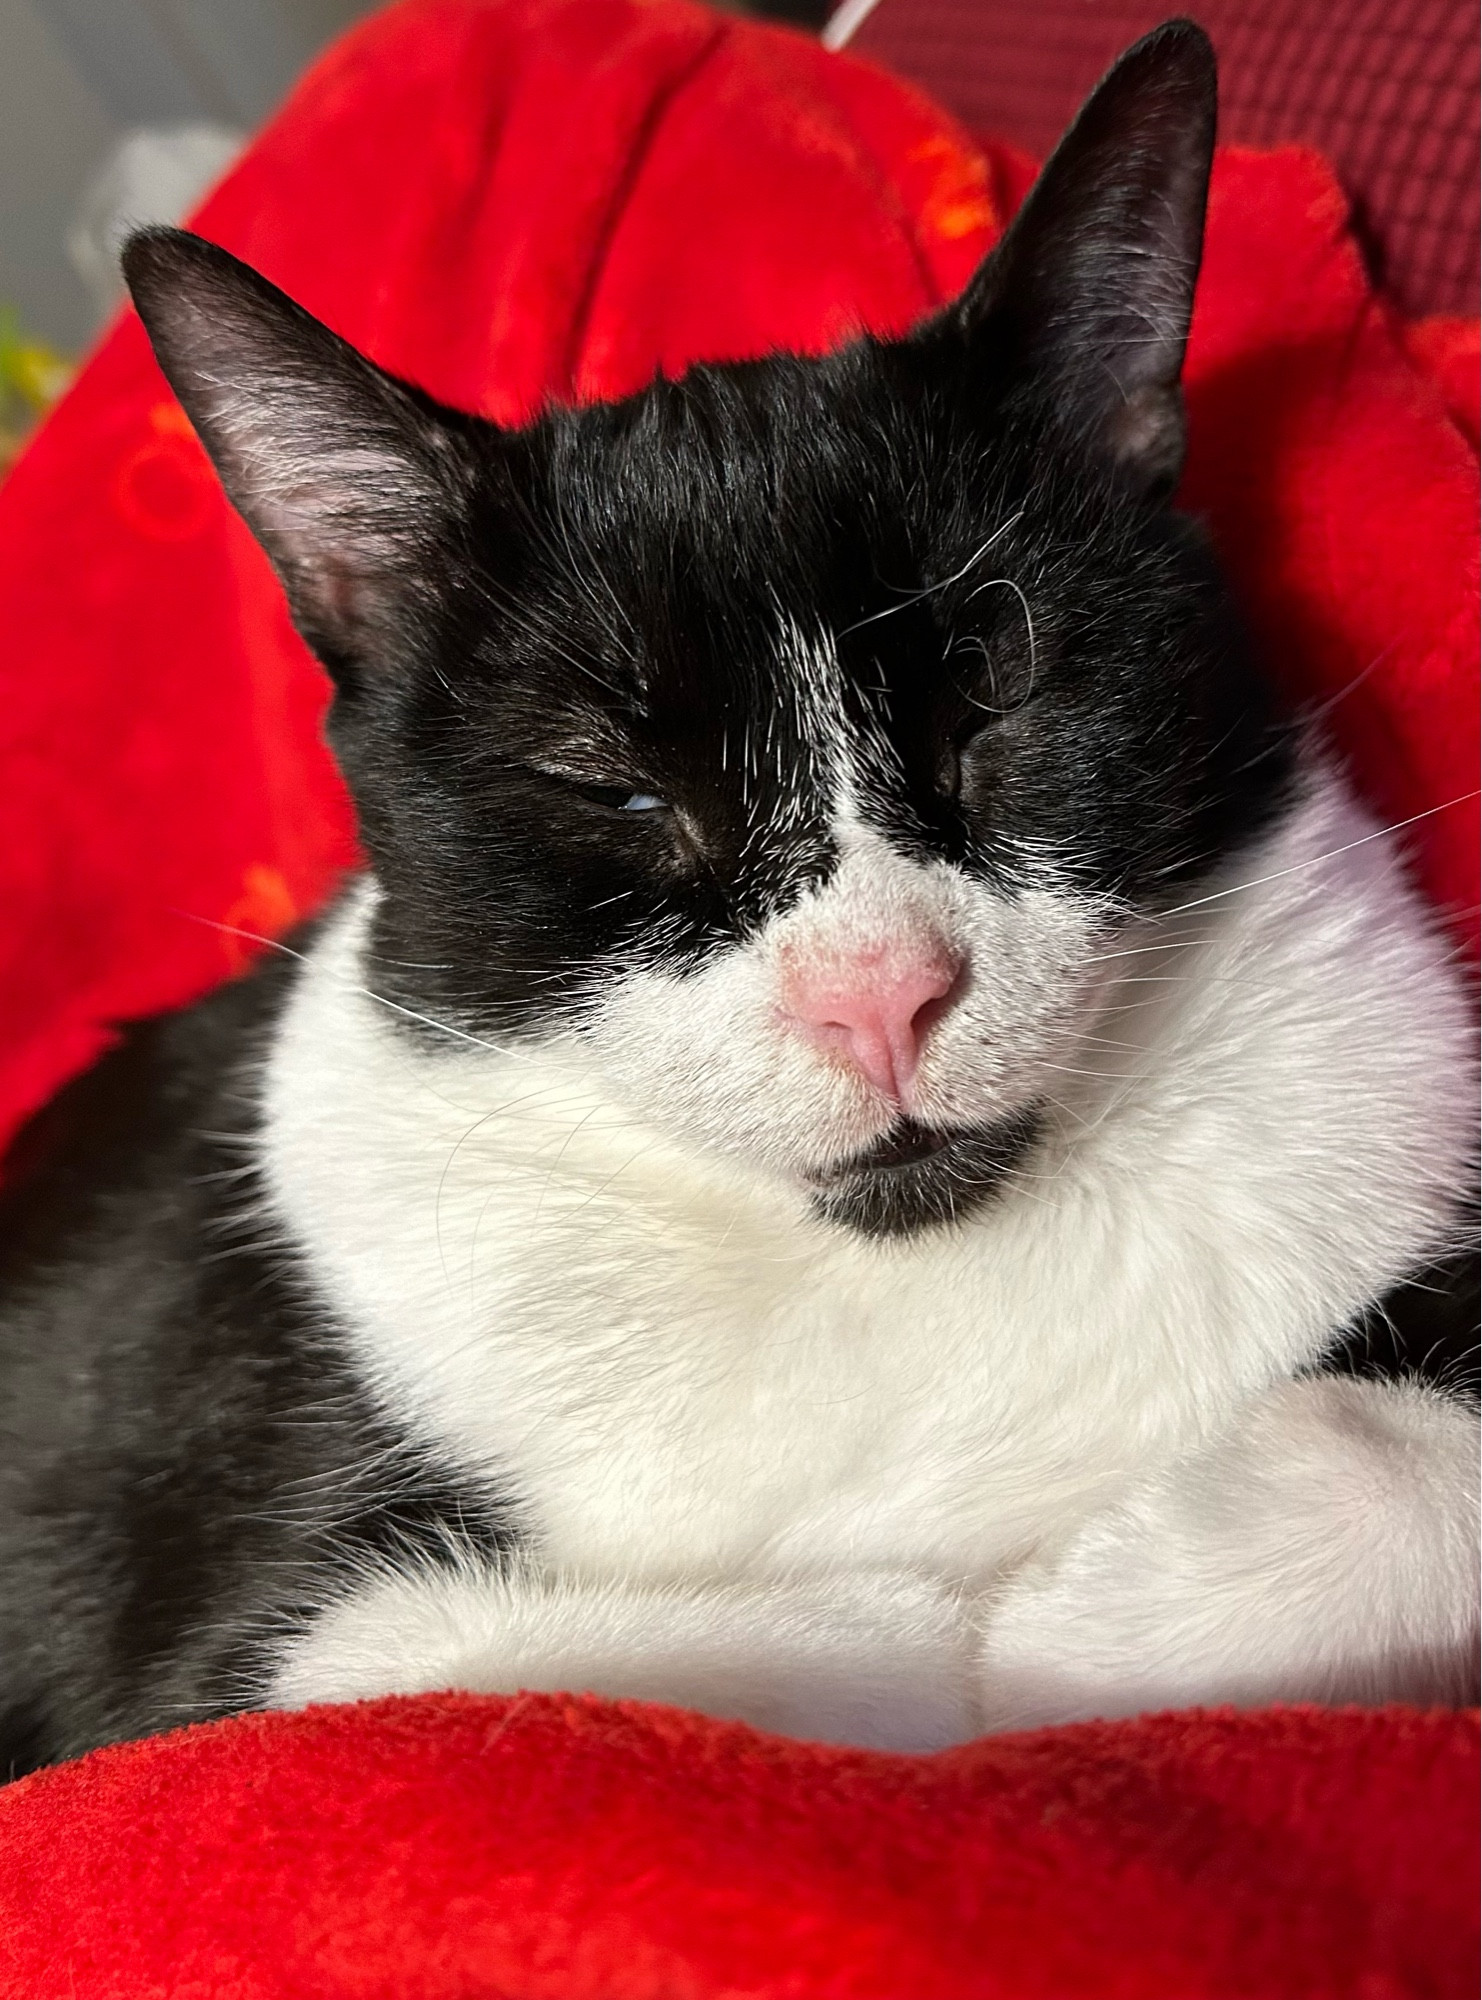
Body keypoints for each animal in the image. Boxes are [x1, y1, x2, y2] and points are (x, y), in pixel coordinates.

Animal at [2, 19, 1480, 1784]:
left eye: (992, 693)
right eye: (612, 791)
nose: (877, 993)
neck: (896, 1271)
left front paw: (1115, 1601)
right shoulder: (222, 1665)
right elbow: (817, 1656)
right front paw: (1022, 1636)